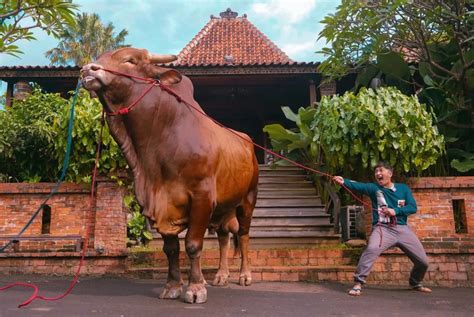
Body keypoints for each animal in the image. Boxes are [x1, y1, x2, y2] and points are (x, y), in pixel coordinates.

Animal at [81, 47, 260, 304]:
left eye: (130, 60)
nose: (88, 69)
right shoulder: (158, 204)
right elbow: (171, 248)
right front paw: (173, 286)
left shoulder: (202, 197)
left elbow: (193, 245)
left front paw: (195, 288)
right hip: (224, 206)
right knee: (224, 237)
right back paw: (221, 275)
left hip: (248, 199)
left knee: (243, 235)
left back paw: (244, 275)